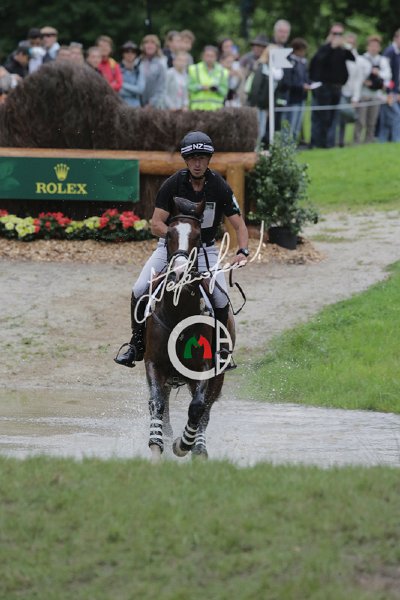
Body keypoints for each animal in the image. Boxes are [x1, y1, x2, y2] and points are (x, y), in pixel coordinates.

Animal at [142, 197, 235, 461]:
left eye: (197, 236)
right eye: (169, 234)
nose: (180, 272)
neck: (178, 310)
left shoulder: (204, 368)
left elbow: (197, 408)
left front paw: (182, 445)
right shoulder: (153, 363)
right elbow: (157, 404)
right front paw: (157, 445)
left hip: (218, 375)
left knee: (205, 409)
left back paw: (198, 447)